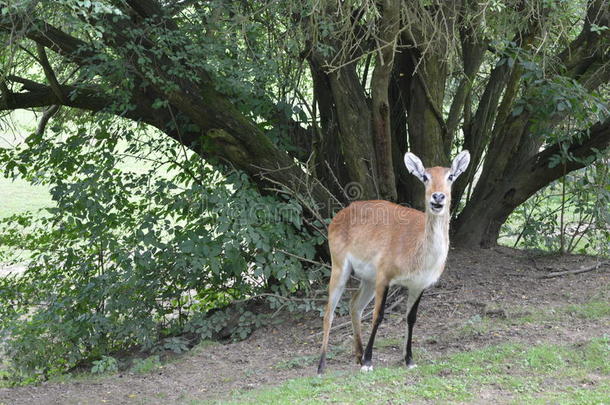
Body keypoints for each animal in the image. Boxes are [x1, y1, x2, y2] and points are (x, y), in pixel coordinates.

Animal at [316, 149, 468, 372]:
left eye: (451, 176)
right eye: (425, 177)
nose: (438, 196)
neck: (418, 252)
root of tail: (341, 213)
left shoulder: (418, 285)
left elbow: (411, 318)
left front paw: (409, 360)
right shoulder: (384, 277)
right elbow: (378, 316)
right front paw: (369, 363)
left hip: (368, 280)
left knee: (355, 305)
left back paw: (358, 356)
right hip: (340, 268)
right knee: (329, 312)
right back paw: (322, 366)